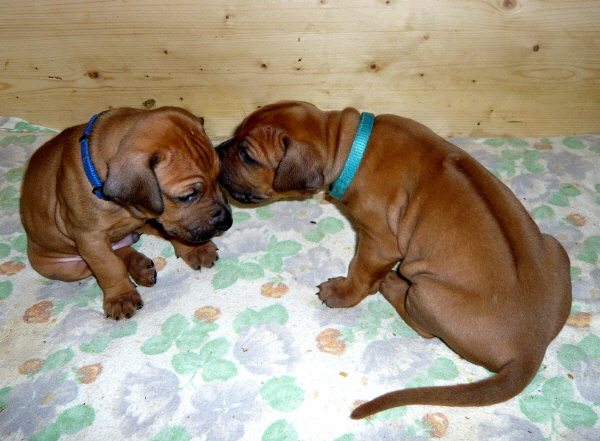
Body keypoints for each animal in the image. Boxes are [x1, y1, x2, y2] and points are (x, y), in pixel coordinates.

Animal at [21, 107, 232, 320]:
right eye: (187, 196)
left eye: (218, 177)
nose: (227, 222)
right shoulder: (90, 238)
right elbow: (108, 266)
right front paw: (121, 297)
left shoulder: (156, 213)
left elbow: (174, 231)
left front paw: (195, 249)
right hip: (60, 267)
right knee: (108, 257)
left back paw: (140, 266)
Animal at [217, 101, 572, 418]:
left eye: (247, 155)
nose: (217, 151)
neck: (348, 143)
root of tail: (531, 349)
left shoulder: (379, 242)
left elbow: (360, 274)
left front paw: (341, 293)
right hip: (555, 248)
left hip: (426, 293)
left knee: (424, 327)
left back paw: (392, 284)